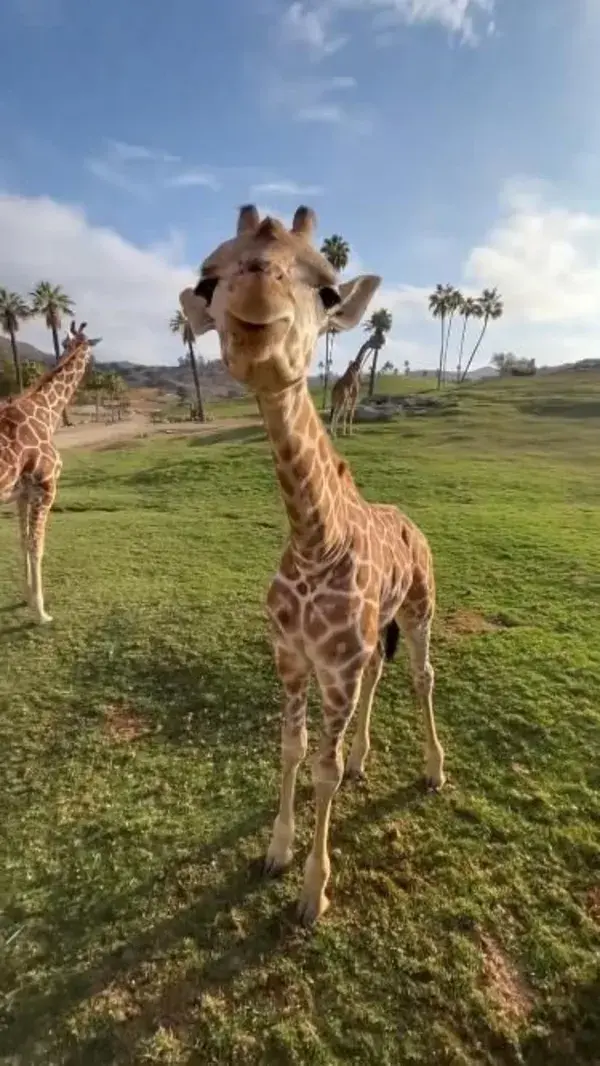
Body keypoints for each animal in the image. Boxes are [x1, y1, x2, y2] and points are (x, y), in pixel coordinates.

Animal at [0, 324, 100, 622]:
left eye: (68, 343)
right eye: (90, 351)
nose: (94, 368)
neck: (47, 411)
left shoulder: (22, 494)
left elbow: (23, 542)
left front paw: (27, 598)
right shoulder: (46, 488)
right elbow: (37, 546)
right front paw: (41, 612)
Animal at [177, 203, 445, 921]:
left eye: (326, 290)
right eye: (208, 279)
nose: (256, 308)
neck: (314, 540)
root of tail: (412, 524)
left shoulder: (338, 666)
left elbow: (318, 769)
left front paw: (312, 891)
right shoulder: (294, 657)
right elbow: (292, 748)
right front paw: (276, 852)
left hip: (420, 607)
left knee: (422, 676)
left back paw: (435, 770)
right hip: (373, 638)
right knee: (383, 677)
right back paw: (362, 761)